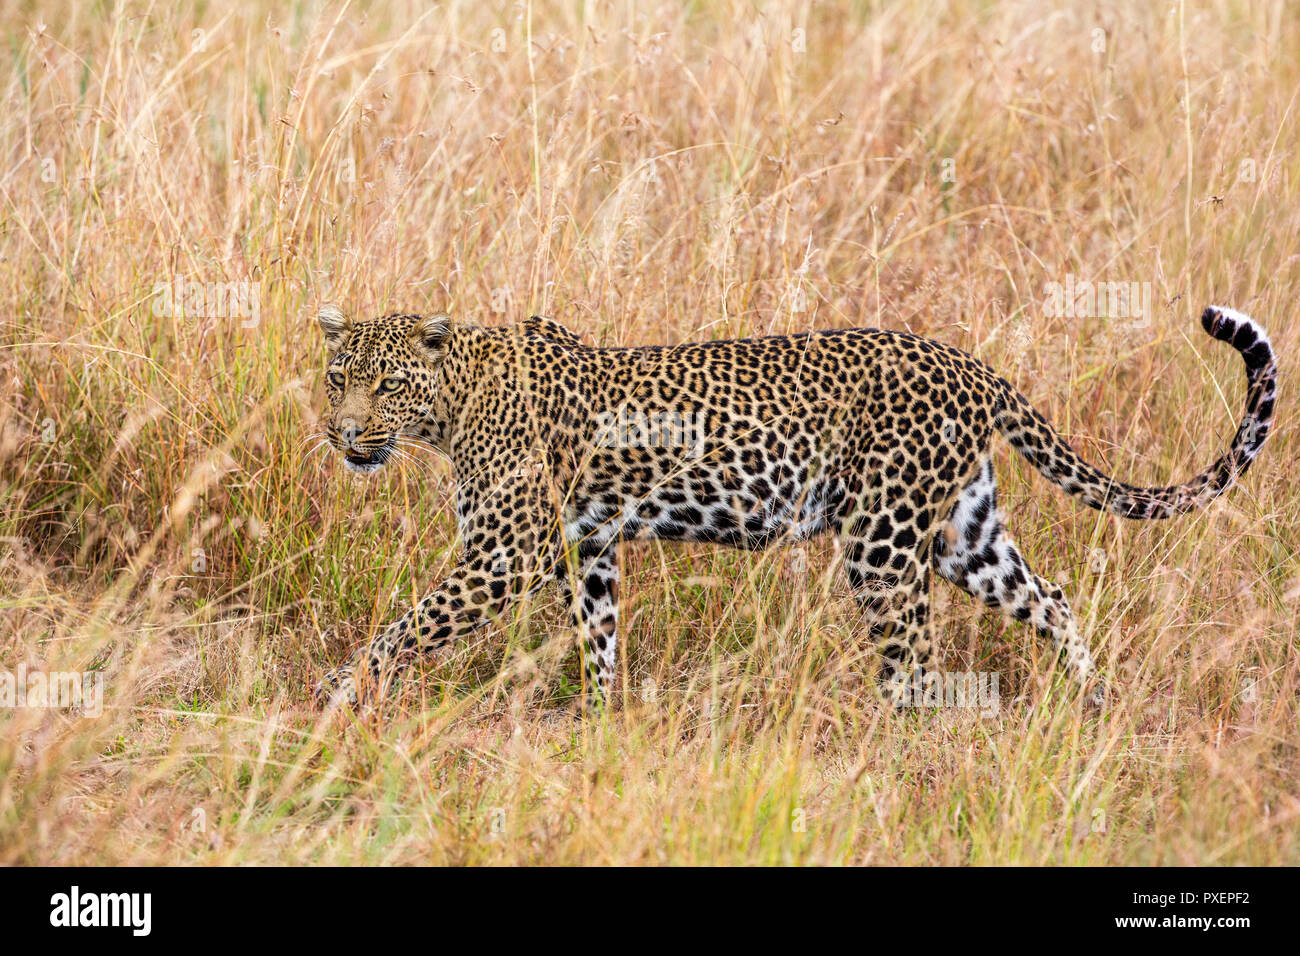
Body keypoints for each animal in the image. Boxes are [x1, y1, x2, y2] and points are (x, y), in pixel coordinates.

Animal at [309, 304, 1274, 712]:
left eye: (384, 385)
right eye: (336, 377)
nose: (342, 433)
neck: (452, 405)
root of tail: (970, 365)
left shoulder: (508, 555)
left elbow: (401, 628)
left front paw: (339, 697)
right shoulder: (589, 547)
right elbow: (599, 637)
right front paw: (595, 723)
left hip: (883, 540)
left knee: (915, 661)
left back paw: (896, 749)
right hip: (963, 534)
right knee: (1053, 598)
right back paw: (1091, 700)